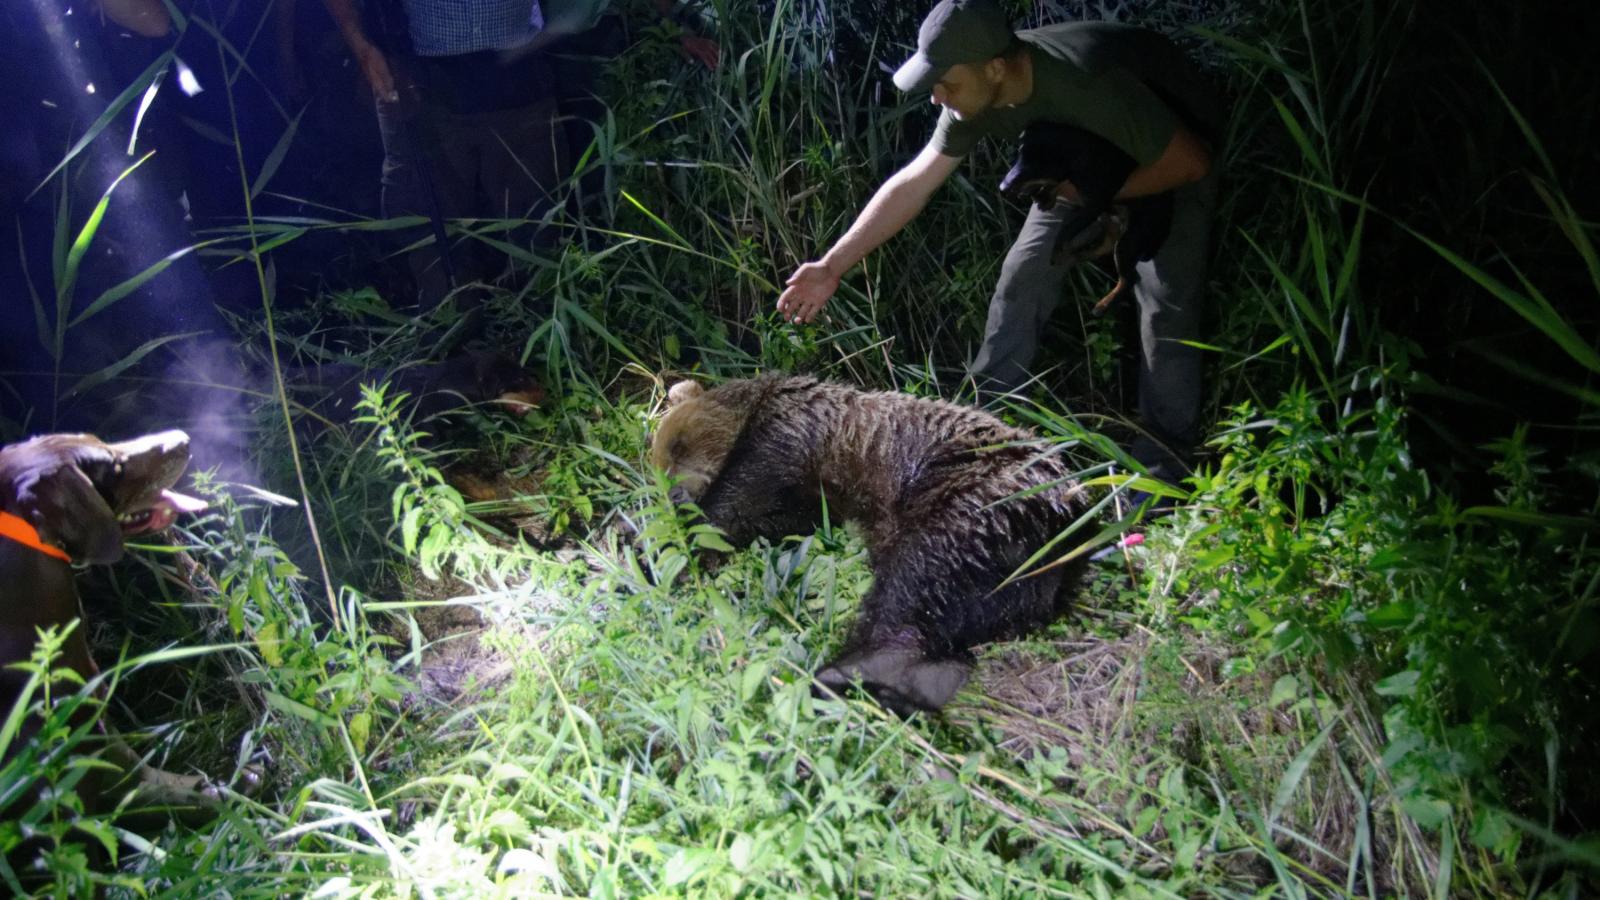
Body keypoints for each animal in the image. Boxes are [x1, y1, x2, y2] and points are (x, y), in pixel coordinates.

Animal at [646, 374, 1088, 711]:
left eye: (679, 445)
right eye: (660, 470)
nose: (676, 496)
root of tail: (1068, 511)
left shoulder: (788, 437)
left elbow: (737, 501)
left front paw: (669, 558)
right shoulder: (808, 501)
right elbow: (767, 519)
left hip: (976, 495)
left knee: (918, 573)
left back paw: (837, 672)